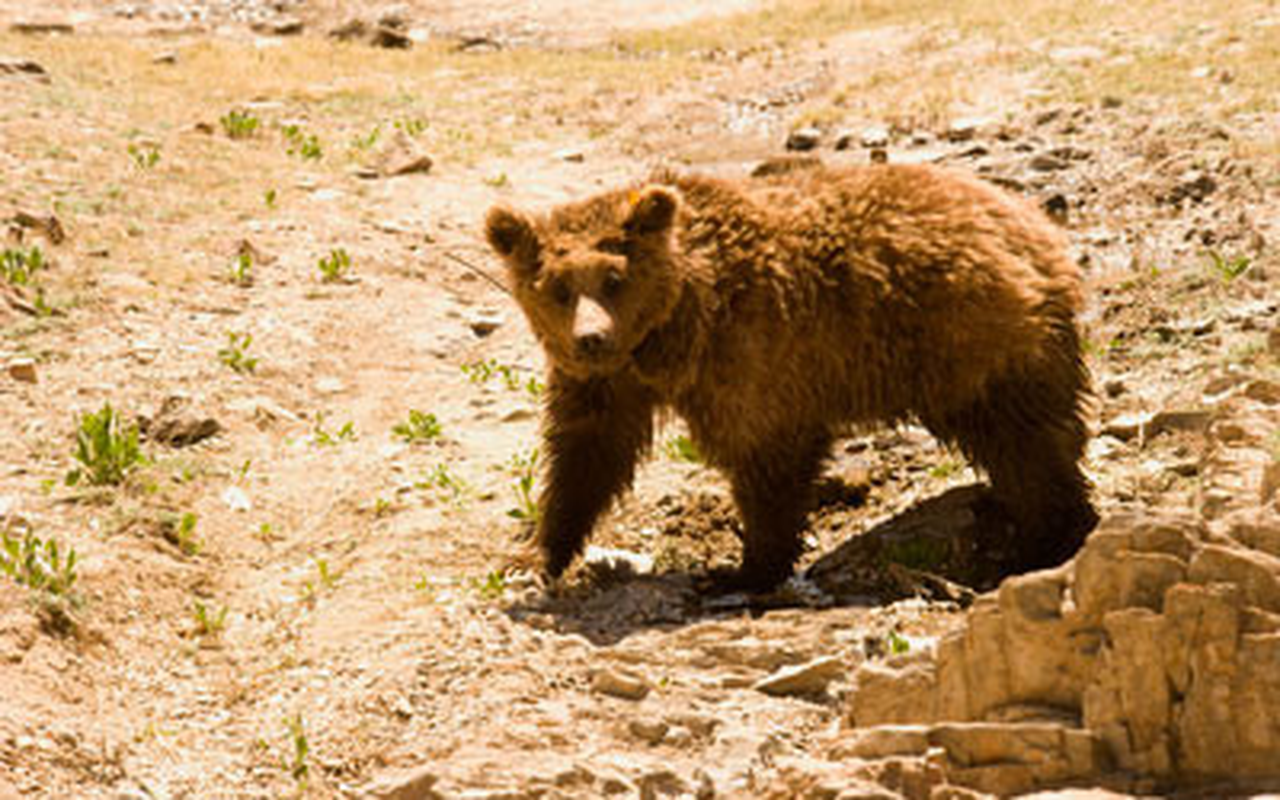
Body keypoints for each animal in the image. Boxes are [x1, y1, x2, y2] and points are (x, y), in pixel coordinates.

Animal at [483, 162, 1095, 588]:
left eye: (613, 278)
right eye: (558, 287)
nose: (590, 338)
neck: (668, 332)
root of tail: (1037, 229)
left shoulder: (751, 349)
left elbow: (765, 453)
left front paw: (739, 570)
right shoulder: (605, 382)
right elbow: (585, 456)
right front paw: (534, 556)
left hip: (977, 341)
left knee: (1025, 442)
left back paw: (1045, 538)